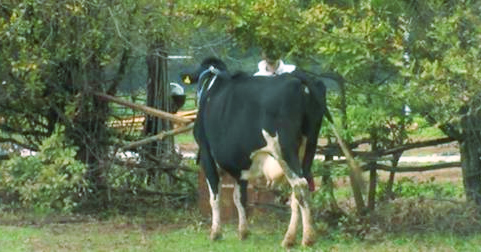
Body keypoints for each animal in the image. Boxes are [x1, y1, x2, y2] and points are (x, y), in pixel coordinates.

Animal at [187, 56, 330, 246]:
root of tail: (298, 78)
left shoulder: (206, 153)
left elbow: (215, 197)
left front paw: (215, 233)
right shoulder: (239, 164)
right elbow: (239, 198)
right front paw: (243, 232)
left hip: (283, 150)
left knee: (300, 186)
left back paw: (307, 238)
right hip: (308, 148)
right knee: (300, 188)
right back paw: (289, 238)